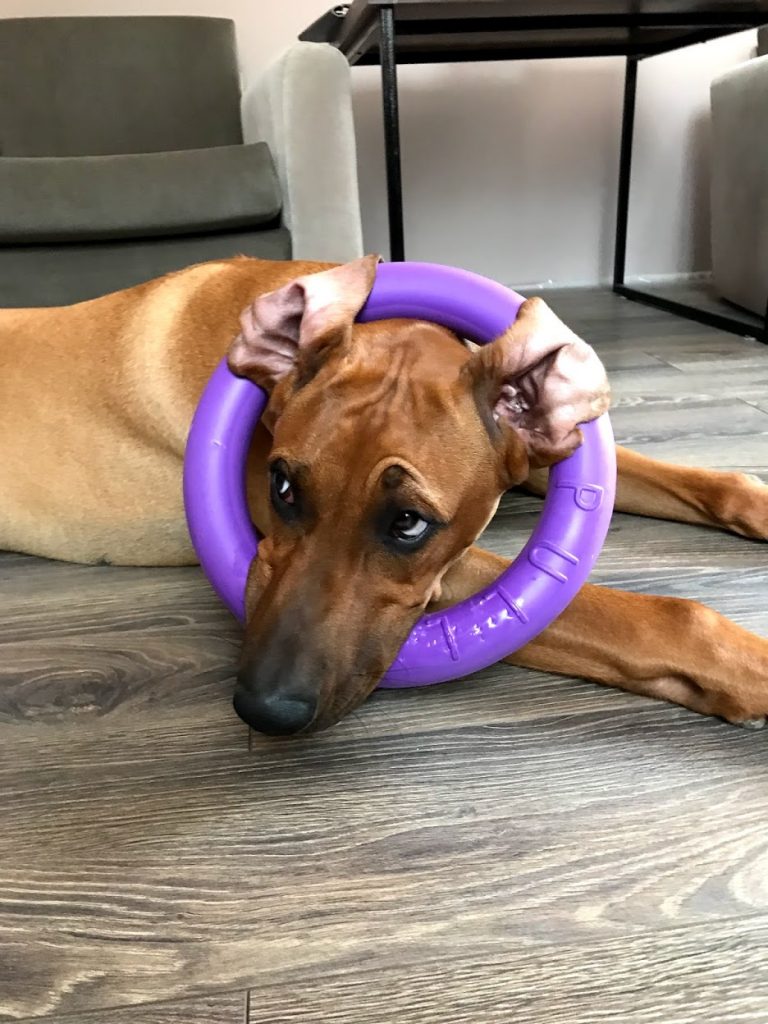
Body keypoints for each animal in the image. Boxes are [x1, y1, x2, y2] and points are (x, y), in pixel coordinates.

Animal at [0, 256, 765, 737]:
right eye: (281, 486)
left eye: (407, 523)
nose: (264, 712)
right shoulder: (448, 573)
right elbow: (658, 619)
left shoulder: (527, 459)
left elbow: (708, 481)